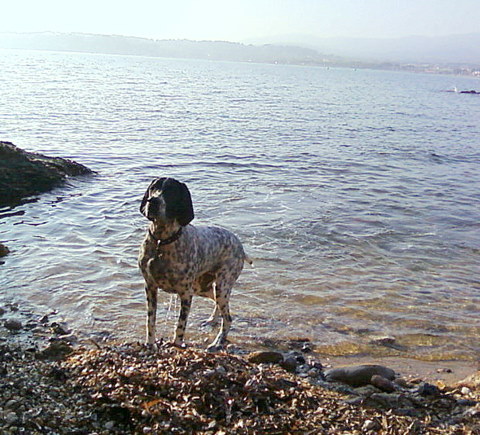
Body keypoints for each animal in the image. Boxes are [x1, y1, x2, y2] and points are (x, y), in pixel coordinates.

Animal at [138, 177, 250, 351]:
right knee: (218, 306)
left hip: (221, 286)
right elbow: (150, 322)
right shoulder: (150, 287)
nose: (153, 201)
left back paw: (217, 342)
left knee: (228, 319)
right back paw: (212, 320)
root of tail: (240, 246)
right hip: (204, 288)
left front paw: (177, 345)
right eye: (153, 188)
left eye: (171, 191)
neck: (161, 242)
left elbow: (180, 325)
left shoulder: (185, 293)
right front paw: (150, 344)